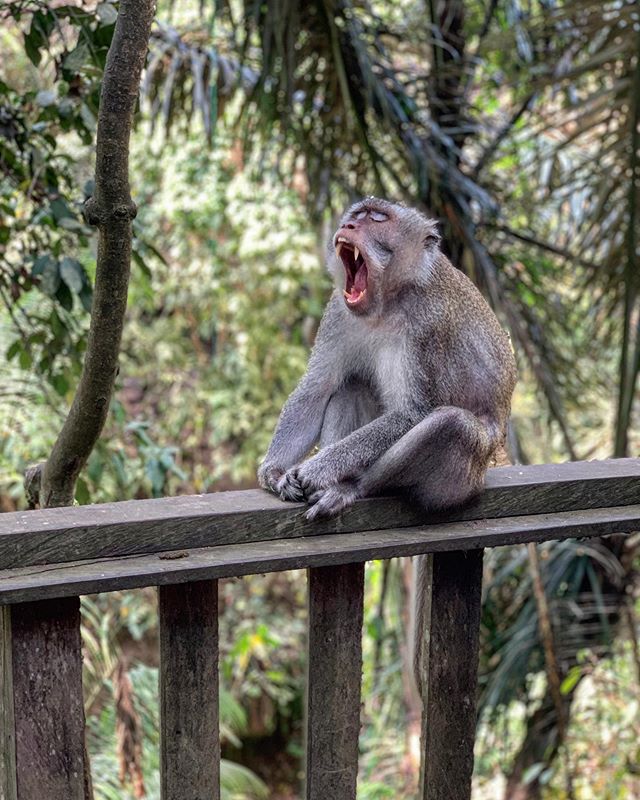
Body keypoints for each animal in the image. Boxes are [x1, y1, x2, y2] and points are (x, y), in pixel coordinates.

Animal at [258, 197, 517, 522]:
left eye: (378, 219)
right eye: (358, 214)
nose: (348, 225)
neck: (387, 303)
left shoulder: (428, 324)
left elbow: (413, 413)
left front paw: (318, 469)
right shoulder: (337, 312)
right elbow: (317, 389)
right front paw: (273, 472)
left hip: (464, 480)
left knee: (450, 423)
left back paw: (350, 487)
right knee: (351, 387)